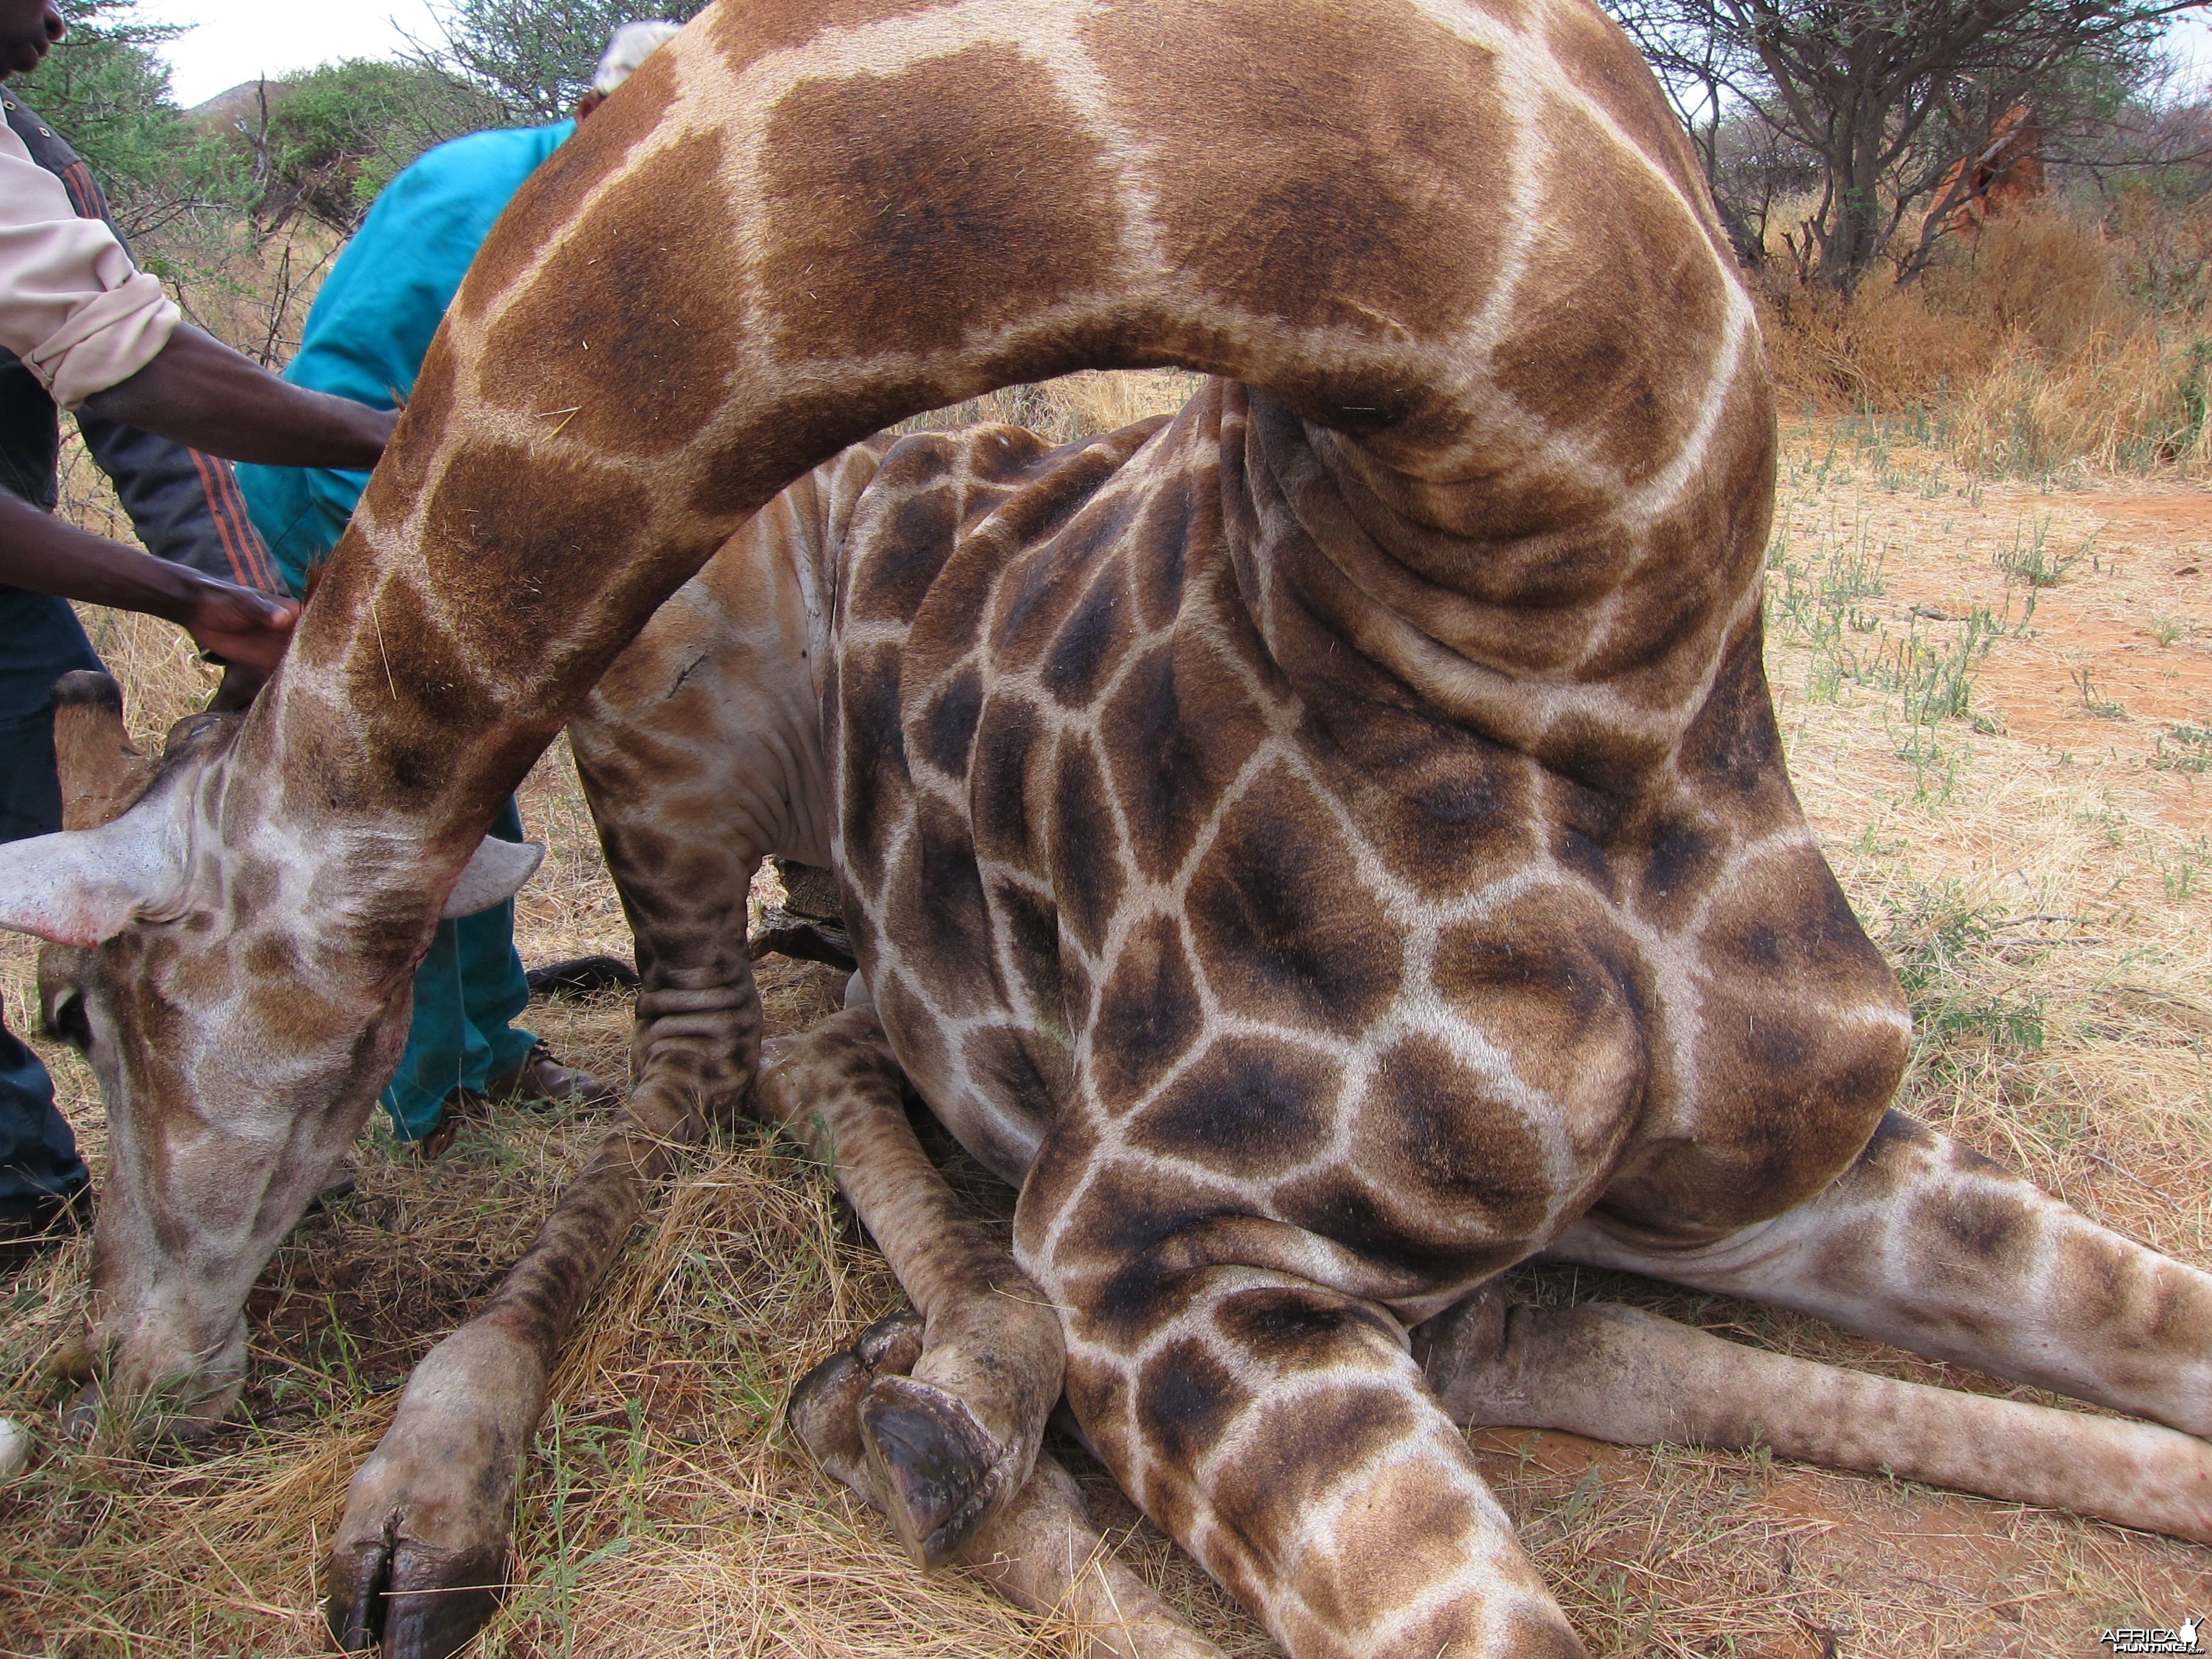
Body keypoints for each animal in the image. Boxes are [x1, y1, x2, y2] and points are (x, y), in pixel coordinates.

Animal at [4, 0, 2212, 1654]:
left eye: (89, 1006)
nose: (117, 1363)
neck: (1587, 582)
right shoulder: (1164, 1251)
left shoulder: (1813, 1156)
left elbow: (2143, 1320)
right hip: (676, 721)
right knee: (721, 1045)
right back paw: (546, 1481)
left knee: (805, 1028)